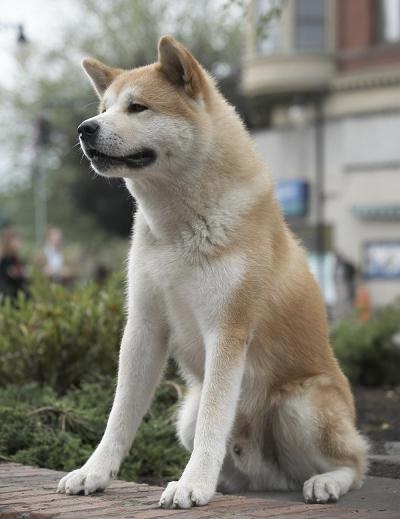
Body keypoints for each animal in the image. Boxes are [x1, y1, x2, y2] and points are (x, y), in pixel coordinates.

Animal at [57, 37, 368, 512]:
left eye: (137, 107)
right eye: (104, 108)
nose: (84, 128)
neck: (177, 228)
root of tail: (271, 479)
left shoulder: (227, 330)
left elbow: (213, 421)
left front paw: (192, 484)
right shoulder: (144, 327)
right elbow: (120, 416)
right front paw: (94, 472)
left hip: (301, 404)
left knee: (354, 464)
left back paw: (325, 482)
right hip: (185, 411)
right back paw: (224, 483)